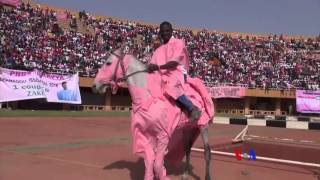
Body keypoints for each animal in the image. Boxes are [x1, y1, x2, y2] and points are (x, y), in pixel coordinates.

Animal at [91, 48, 214, 179]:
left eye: (108, 63)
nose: (94, 86)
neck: (147, 99)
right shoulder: (143, 135)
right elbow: (150, 163)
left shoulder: (163, 136)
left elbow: (158, 164)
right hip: (187, 128)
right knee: (187, 149)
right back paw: (185, 174)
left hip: (203, 125)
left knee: (207, 152)